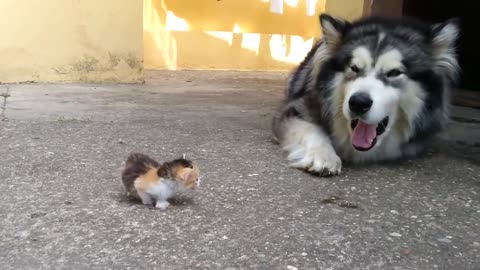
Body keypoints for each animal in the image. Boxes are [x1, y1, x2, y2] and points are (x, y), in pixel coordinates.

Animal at [272, 13, 460, 176]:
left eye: (394, 72)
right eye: (354, 68)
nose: (358, 102)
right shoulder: (297, 107)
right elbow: (312, 129)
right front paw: (323, 156)